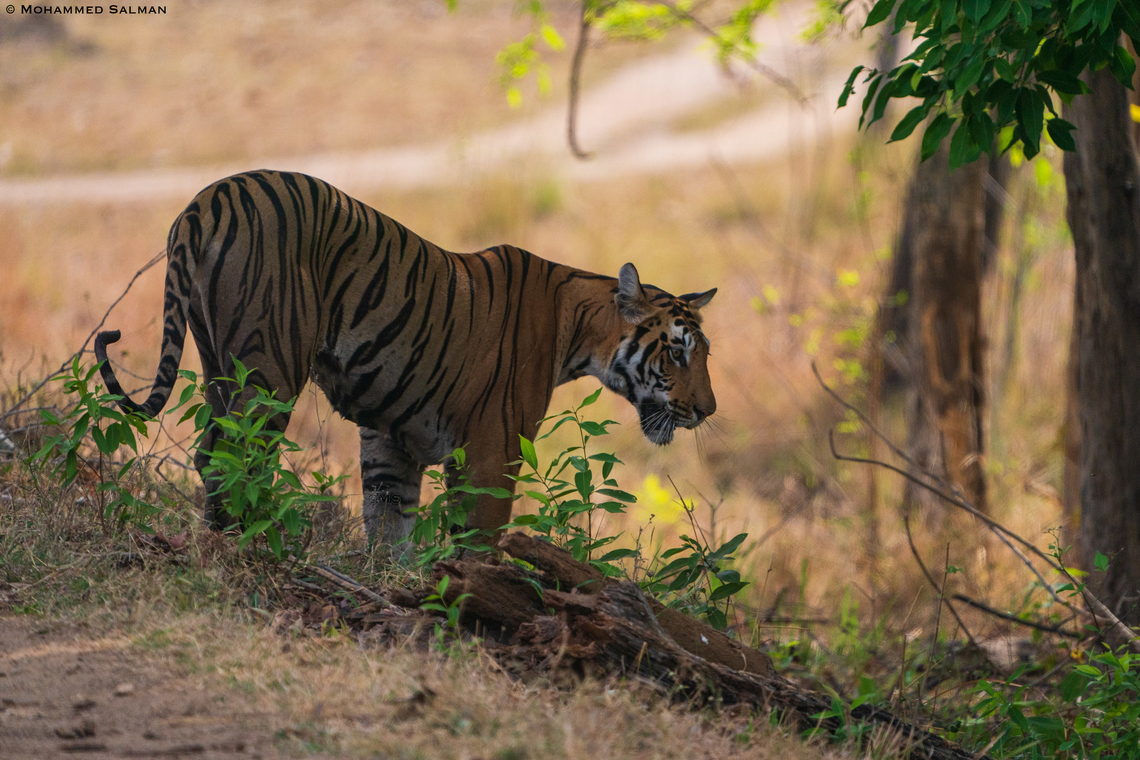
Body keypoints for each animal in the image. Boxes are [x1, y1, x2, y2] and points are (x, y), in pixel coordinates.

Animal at [94, 170, 717, 546]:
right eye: (678, 352)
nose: (708, 411)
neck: (580, 329)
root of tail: (208, 197)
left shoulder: (392, 440)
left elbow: (390, 527)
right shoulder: (492, 448)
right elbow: (476, 540)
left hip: (218, 362)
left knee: (212, 452)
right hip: (269, 369)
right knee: (233, 457)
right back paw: (253, 546)